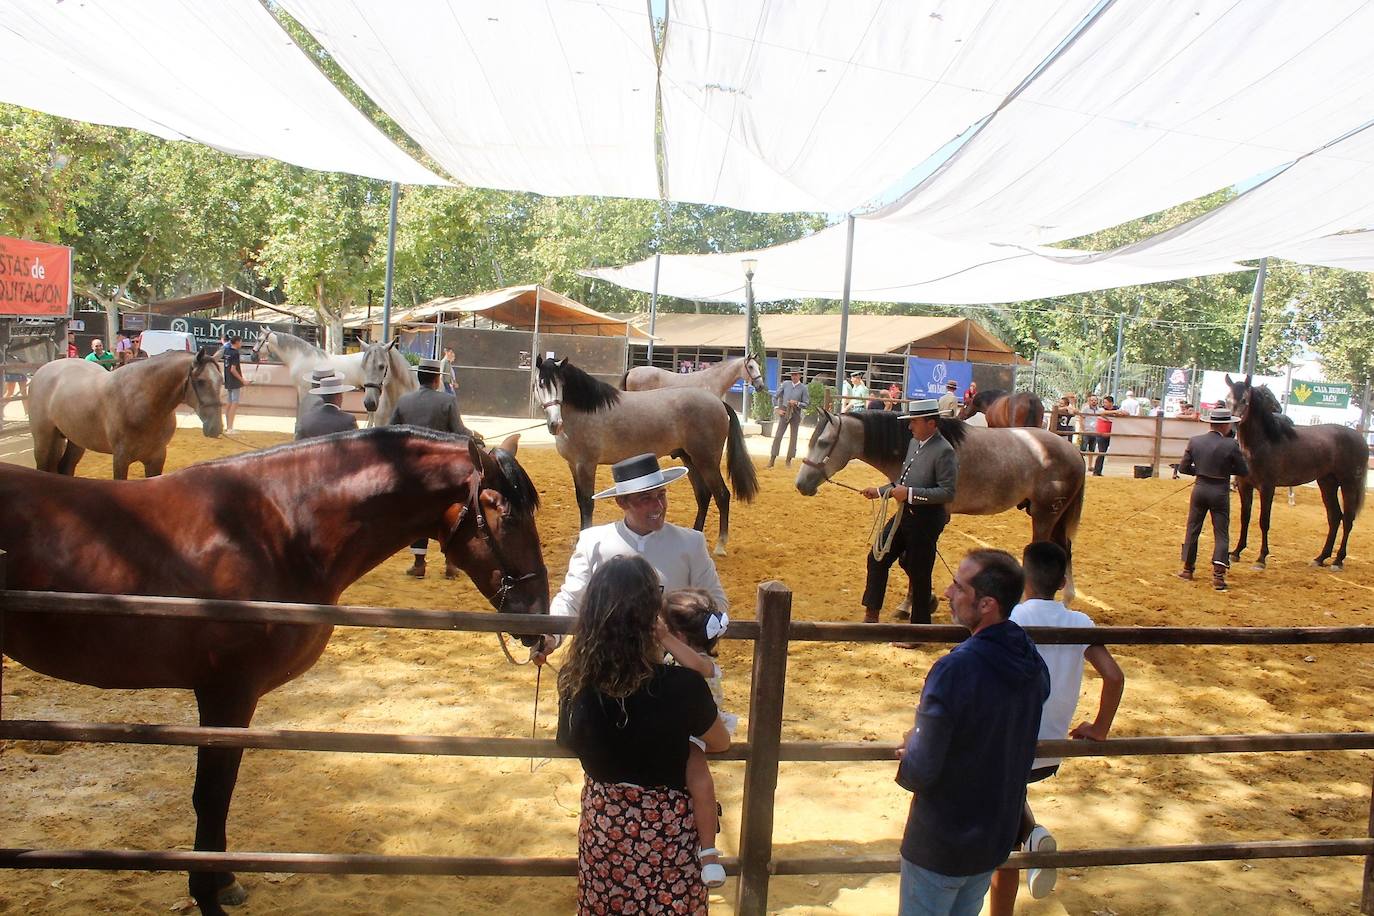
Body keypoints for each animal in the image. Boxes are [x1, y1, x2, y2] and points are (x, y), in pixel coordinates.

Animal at [0, 431, 546, 916]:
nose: (539, 617)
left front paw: (223, 882)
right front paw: (208, 895)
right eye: (505, 513)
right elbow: (212, 796)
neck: (273, 528)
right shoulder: (227, 693)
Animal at [26, 348, 225, 480]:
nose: (215, 427)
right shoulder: (121, 459)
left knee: (65, 468)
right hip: (44, 440)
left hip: (75, 440)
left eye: (221, 381)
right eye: (200, 381)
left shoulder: (157, 458)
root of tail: (43, 370)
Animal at [796, 411, 1082, 604]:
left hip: (1045, 515)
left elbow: (916, 563)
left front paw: (914, 603)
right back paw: (1067, 598)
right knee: (1065, 549)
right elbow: (907, 562)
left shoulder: (937, 519)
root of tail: (1073, 451)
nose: (800, 484)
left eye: (823, 443)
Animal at [1225, 376, 1363, 568]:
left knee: (1348, 519)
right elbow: (1245, 518)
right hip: (1327, 483)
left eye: (1245, 400)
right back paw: (1320, 558)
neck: (1262, 443)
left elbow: (1264, 521)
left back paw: (1338, 561)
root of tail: (1359, 437)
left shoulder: (1267, 487)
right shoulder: (1244, 485)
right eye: (1227, 399)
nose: (1230, 427)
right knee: (1335, 517)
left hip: (1349, 483)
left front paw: (1261, 558)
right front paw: (1236, 552)